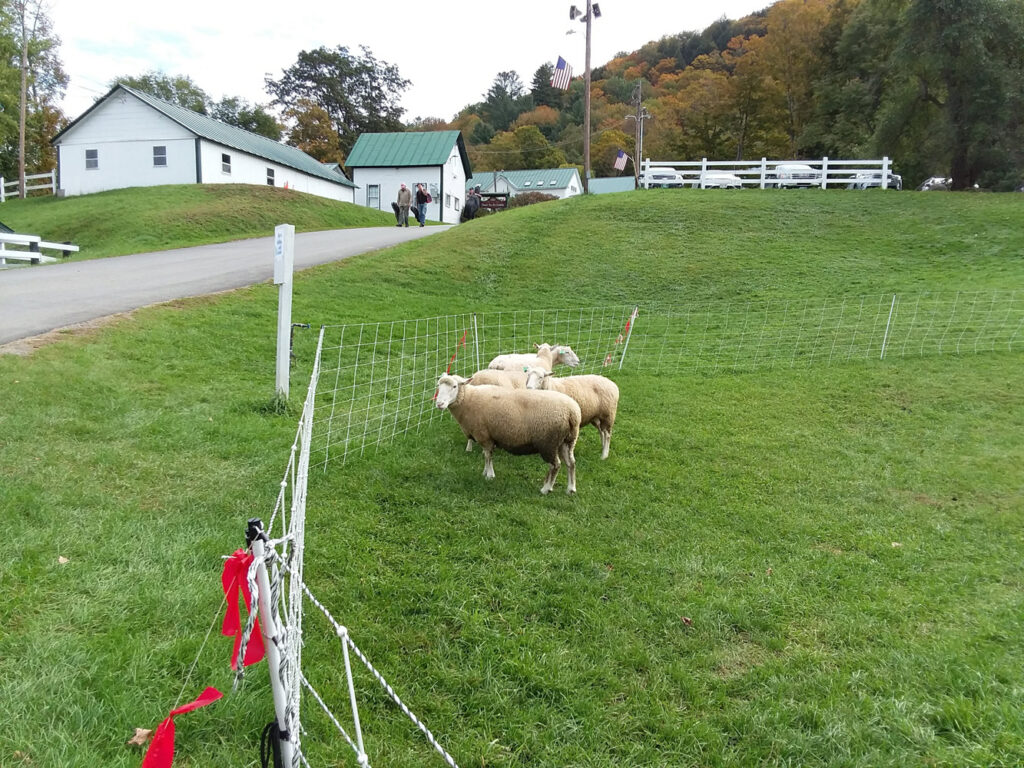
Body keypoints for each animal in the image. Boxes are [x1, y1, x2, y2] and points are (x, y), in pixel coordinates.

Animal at [435, 374, 581, 494]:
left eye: (454, 386)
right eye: (438, 386)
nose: (439, 404)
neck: (468, 400)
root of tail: (572, 413)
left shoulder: (484, 436)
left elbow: (488, 456)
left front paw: (489, 475)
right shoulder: (487, 437)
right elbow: (486, 456)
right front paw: (485, 472)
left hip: (548, 442)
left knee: (555, 465)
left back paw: (546, 489)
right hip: (567, 440)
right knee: (571, 463)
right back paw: (571, 489)